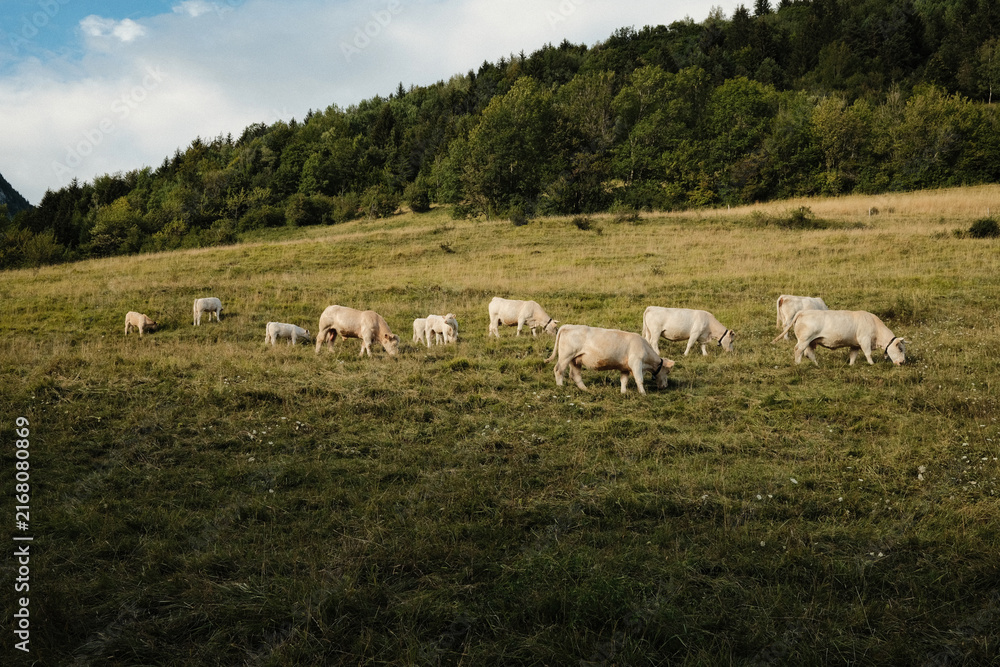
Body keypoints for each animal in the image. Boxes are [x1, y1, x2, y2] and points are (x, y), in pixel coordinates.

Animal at [546, 324, 675, 395]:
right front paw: (643, 394)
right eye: (668, 371)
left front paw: (623, 392)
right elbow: (639, 380)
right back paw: (560, 386)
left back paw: (585, 389)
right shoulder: (636, 363)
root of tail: (568, 326)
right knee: (559, 370)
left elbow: (624, 380)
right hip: (565, 356)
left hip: (575, 360)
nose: (666, 386)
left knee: (575, 375)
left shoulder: (625, 367)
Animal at [771, 309, 906, 366]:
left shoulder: (855, 345)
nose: (903, 362)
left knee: (809, 353)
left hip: (810, 342)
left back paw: (817, 365)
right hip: (804, 340)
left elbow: (853, 356)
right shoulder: (864, 340)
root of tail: (803, 312)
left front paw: (851, 365)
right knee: (798, 350)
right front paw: (872, 364)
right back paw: (798, 364)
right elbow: (868, 353)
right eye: (900, 349)